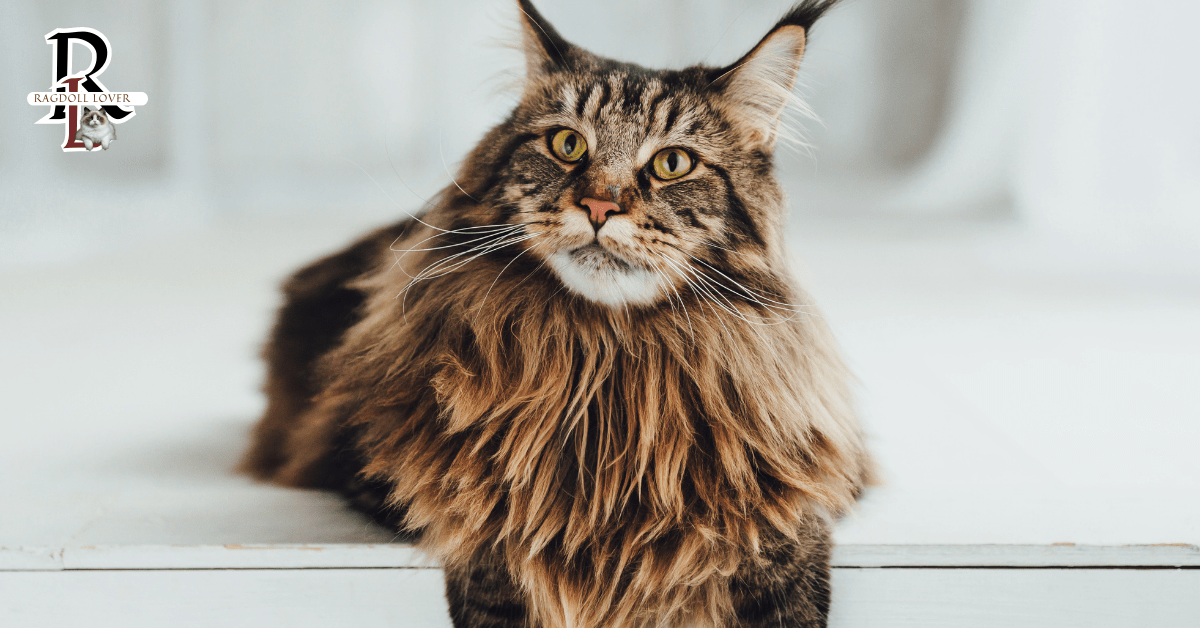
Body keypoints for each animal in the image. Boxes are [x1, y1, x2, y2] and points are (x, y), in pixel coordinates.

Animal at [243, 1, 873, 628]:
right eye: (568, 145)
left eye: (672, 163)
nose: (599, 205)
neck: (605, 359)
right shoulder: (393, 465)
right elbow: (494, 532)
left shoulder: (801, 474)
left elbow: (781, 547)